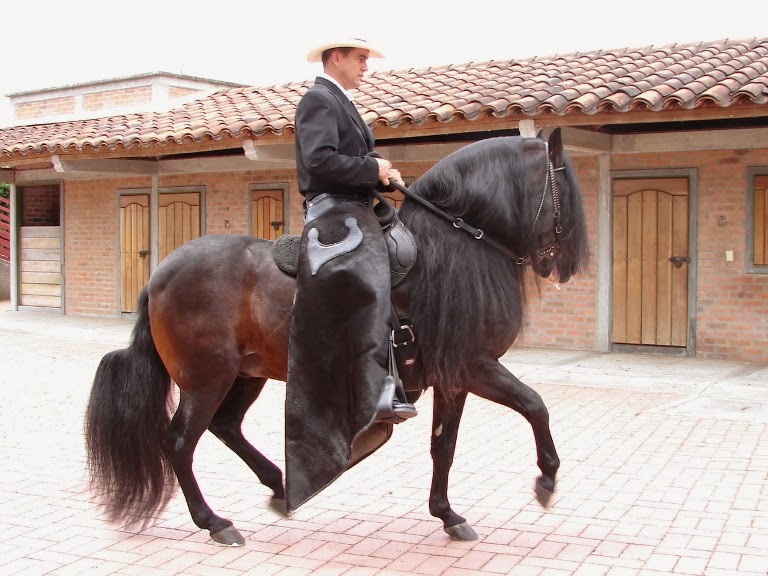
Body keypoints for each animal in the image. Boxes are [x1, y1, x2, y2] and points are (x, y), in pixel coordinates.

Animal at [84, 127, 589, 546]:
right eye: (564, 187)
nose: (566, 266)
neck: (455, 248)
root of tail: (160, 275)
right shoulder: (475, 365)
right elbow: (535, 405)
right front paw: (547, 479)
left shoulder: (454, 377)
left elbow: (444, 446)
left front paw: (448, 514)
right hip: (206, 378)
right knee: (178, 443)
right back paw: (216, 523)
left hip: (246, 373)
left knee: (225, 426)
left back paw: (279, 486)